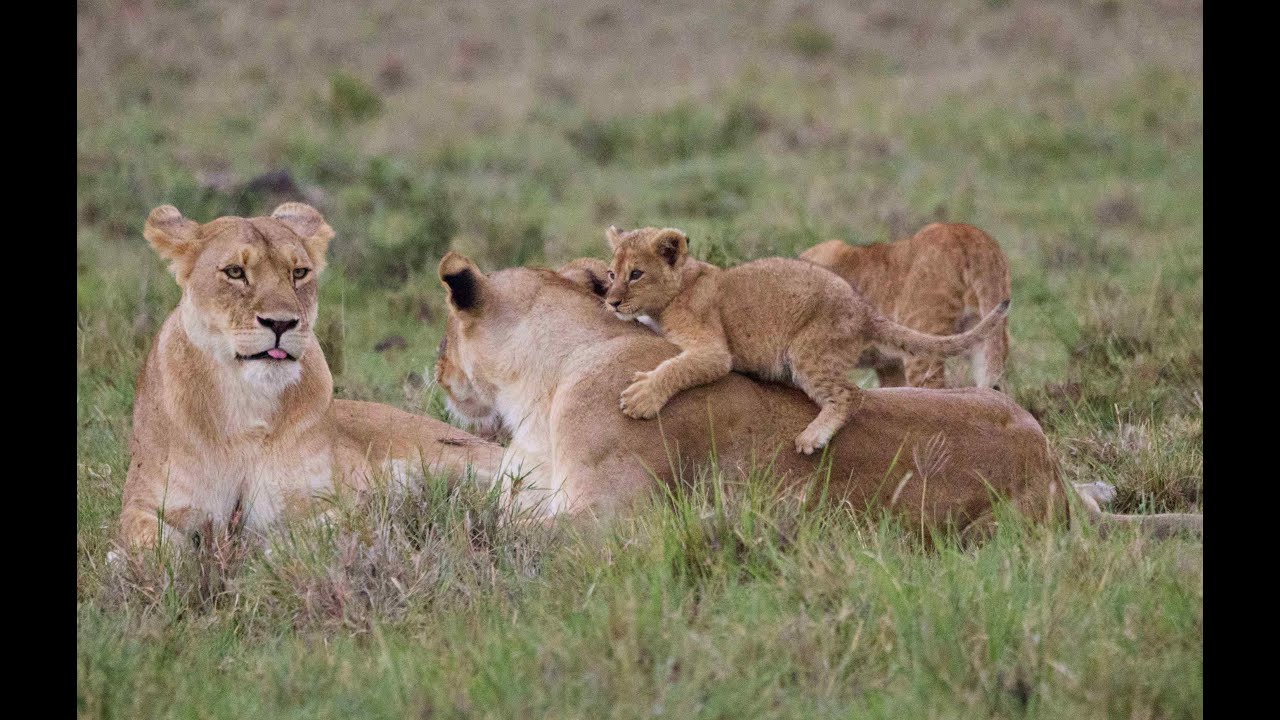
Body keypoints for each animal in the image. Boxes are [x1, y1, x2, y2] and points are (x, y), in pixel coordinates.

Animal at [114, 203, 505, 554]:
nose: (281, 323)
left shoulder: (342, 499)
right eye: (235, 272)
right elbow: (152, 545)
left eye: (299, 272)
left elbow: (309, 535)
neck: (247, 402)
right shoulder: (144, 503)